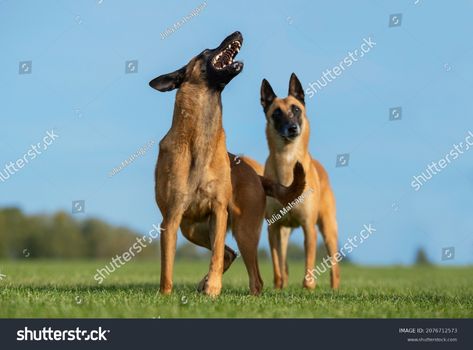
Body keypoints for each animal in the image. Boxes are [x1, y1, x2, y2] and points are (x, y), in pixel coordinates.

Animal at [148, 32, 304, 296]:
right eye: (205, 51)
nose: (237, 32)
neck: (200, 137)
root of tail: (256, 176)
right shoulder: (171, 217)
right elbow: (167, 265)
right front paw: (166, 295)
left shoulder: (218, 211)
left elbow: (217, 255)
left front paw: (213, 288)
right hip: (191, 229)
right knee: (231, 255)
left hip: (244, 231)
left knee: (252, 275)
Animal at [258, 73, 340, 290]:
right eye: (276, 113)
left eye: (296, 109)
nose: (292, 128)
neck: (288, 161)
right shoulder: (273, 228)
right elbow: (277, 264)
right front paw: (278, 288)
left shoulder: (308, 227)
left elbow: (309, 261)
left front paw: (308, 287)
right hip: (284, 234)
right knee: (283, 262)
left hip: (328, 229)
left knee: (335, 265)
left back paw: (335, 288)